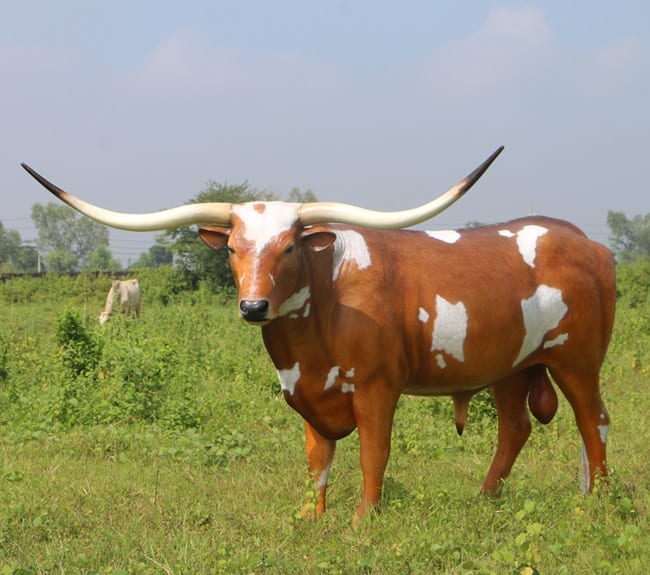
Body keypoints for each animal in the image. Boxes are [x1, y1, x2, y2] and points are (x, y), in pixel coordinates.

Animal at [21, 148, 616, 524]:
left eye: (289, 246)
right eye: (232, 248)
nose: (254, 305)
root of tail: (588, 243)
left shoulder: (376, 387)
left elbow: (374, 451)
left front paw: (361, 520)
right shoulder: (305, 390)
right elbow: (317, 458)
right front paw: (312, 515)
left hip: (577, 361)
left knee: (595, 422)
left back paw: (600, 504)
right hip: (513, 367)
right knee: (515, 428)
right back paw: (485, 500)